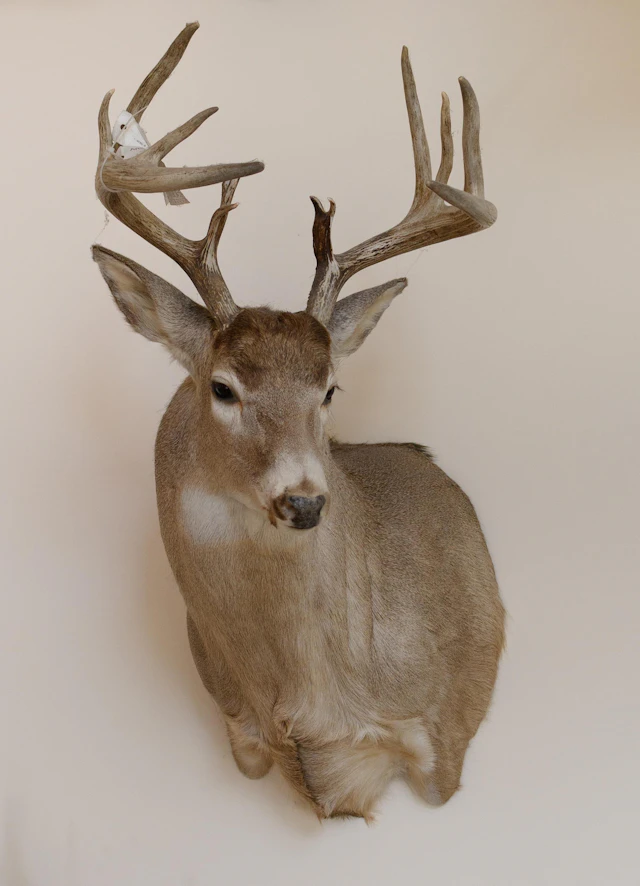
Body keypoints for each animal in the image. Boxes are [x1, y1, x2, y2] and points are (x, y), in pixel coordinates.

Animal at [92, 22, 505, 822]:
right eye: (222, 387)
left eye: (331, 389)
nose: (306, 499)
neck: (313, 704)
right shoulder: (241, 735)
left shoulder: (446, 732)